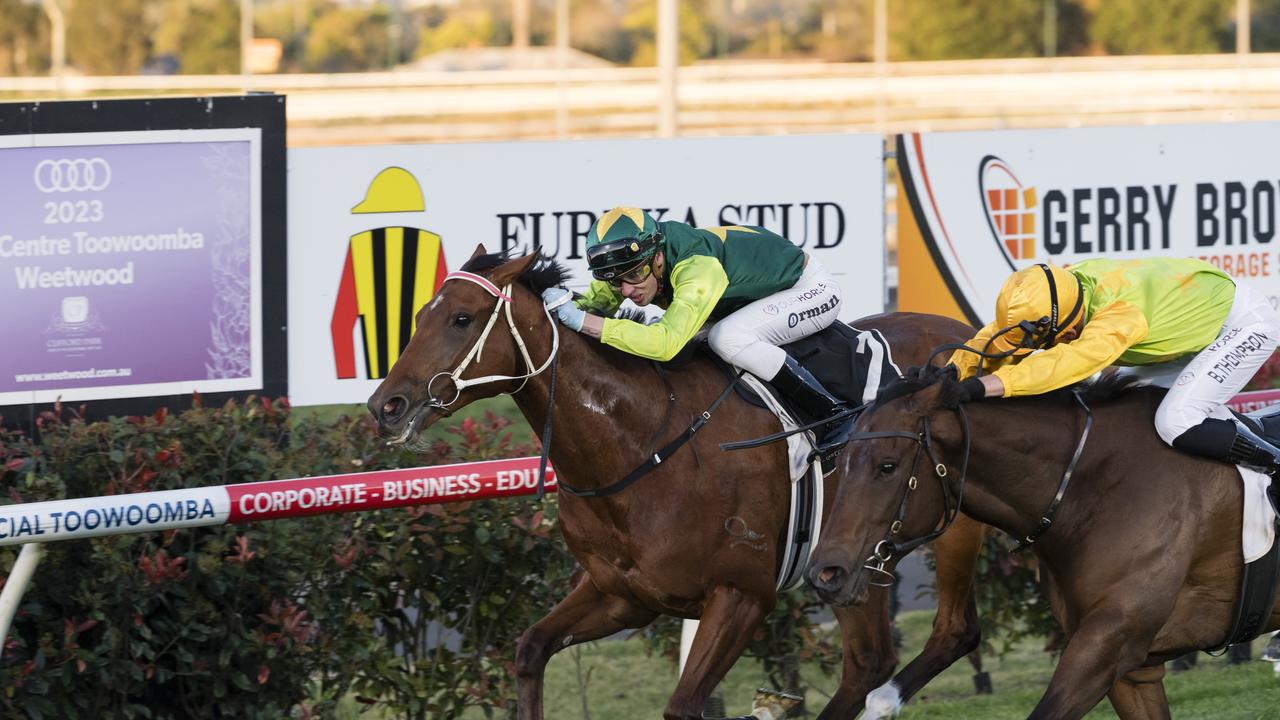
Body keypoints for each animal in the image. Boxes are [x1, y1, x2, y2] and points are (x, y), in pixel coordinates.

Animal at [366, 248, 983, 717]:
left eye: (462, 319)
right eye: (419, 316)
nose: (385, 406)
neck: (641, 445)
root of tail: (969, 332)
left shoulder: (741, 593)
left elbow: (684, 705)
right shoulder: (623, 594)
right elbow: (530, 649)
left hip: (948, 527)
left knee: (951, 632)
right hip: (856, 559)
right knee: (872, 660)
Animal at [808, 366, 1280, 712]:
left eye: (887, 466)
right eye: (838, 462)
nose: (826, 573)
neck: (1093, 485)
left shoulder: (1106, 646)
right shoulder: (1133, 671)